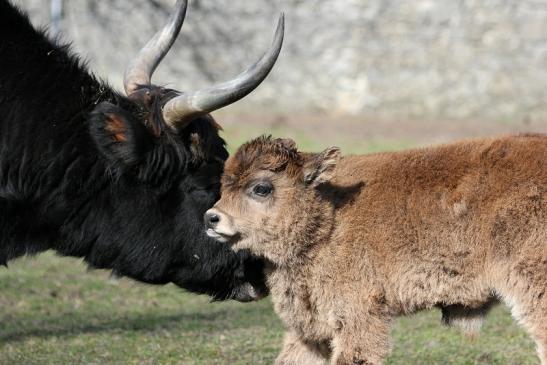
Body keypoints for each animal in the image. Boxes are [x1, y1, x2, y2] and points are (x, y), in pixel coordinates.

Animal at [207, 134, 547, 364]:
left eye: (261, 187)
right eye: (223, 185)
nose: (212, 217)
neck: (330, 213)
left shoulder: (358, 315)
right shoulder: (311, 328)